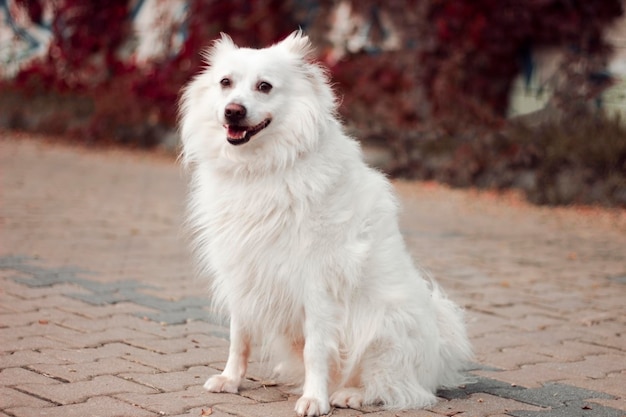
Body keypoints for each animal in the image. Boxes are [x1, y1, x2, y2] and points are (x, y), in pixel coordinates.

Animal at [178, 30, 470, 414]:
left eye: (264, 86)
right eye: (225, 83)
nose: (233, 111)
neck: (262, 168)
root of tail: (437, 358)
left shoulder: (317, 281)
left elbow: (316, 350)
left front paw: (314, 398)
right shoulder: (242, 271)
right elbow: (239, 336)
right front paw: (231, 380)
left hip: (385, 327)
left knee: (401, 389)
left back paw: (350, 393)